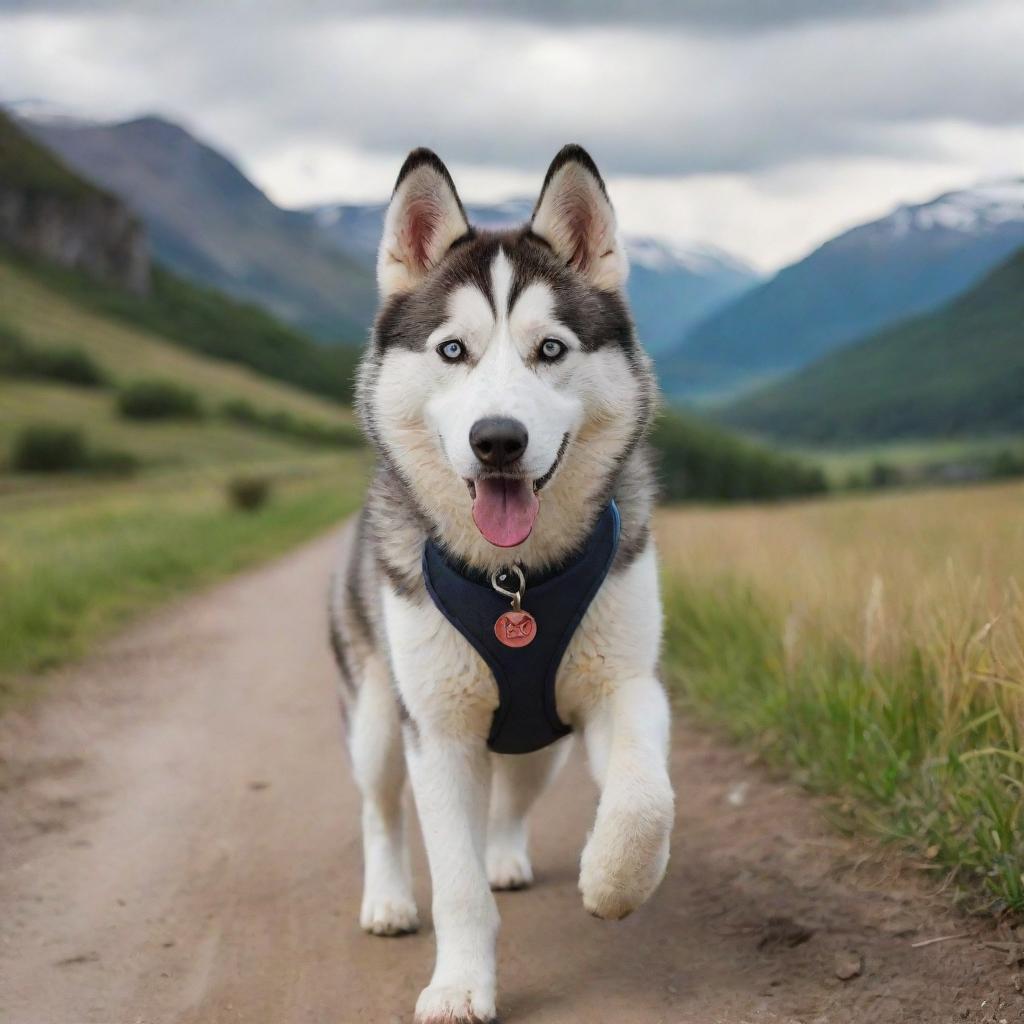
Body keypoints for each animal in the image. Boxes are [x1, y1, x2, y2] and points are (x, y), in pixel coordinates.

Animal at [331, 144, 675, 1024]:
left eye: (550, 350)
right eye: (453, 351)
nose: (498, 441)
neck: (513, 579)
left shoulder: (625, 685)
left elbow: (644, 799)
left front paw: (614, 882)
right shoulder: (438, 729)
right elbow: (452, 884)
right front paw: (459, 985)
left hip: (538, 745)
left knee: (512, 797)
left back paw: (506, 857)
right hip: (377, 715)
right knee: (378, 809)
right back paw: (387, 899)